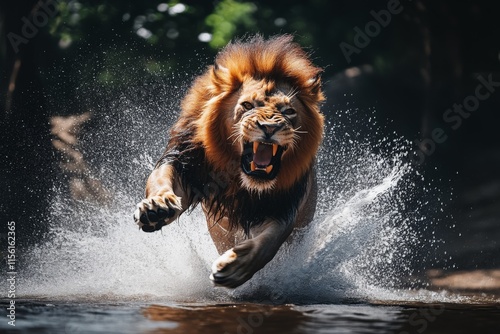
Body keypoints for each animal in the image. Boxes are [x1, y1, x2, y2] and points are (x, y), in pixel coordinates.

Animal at [134, 35, 324, 288]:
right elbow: (161, 179)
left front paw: (235, 267)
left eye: (288, 111)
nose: (269, 127)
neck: (241, 180)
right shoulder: (185, 165)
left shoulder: (283, 206)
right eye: (247, 105)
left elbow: (268, 243)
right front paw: (156, 207)